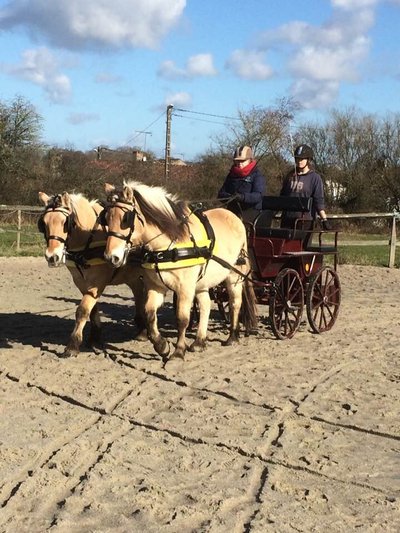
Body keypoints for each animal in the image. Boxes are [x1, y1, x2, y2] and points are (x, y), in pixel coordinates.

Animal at [38, 191, 145, 358]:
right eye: (44, 223)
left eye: (65, 223)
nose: (52, 257)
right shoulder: (82, 283)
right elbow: (92, 310)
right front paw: (95, 338)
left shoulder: (97, 283)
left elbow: (82, 310)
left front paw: (72, 345)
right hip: (132, 276)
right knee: (139, 293)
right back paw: (142, 328)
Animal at [103, 181, 258, 360]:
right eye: (106, 217)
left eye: (125, 219)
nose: (111, 257)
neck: (169, 242)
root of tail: (235, 217)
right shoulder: (155, 286)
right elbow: (149, 313)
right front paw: (161, 346)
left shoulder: (185, 288)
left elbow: (182, 319)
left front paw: (178, 351)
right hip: (201, 282)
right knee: (205, 305)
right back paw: (199, 342)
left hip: (233, 276)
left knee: (235, 304)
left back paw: (232, 336)